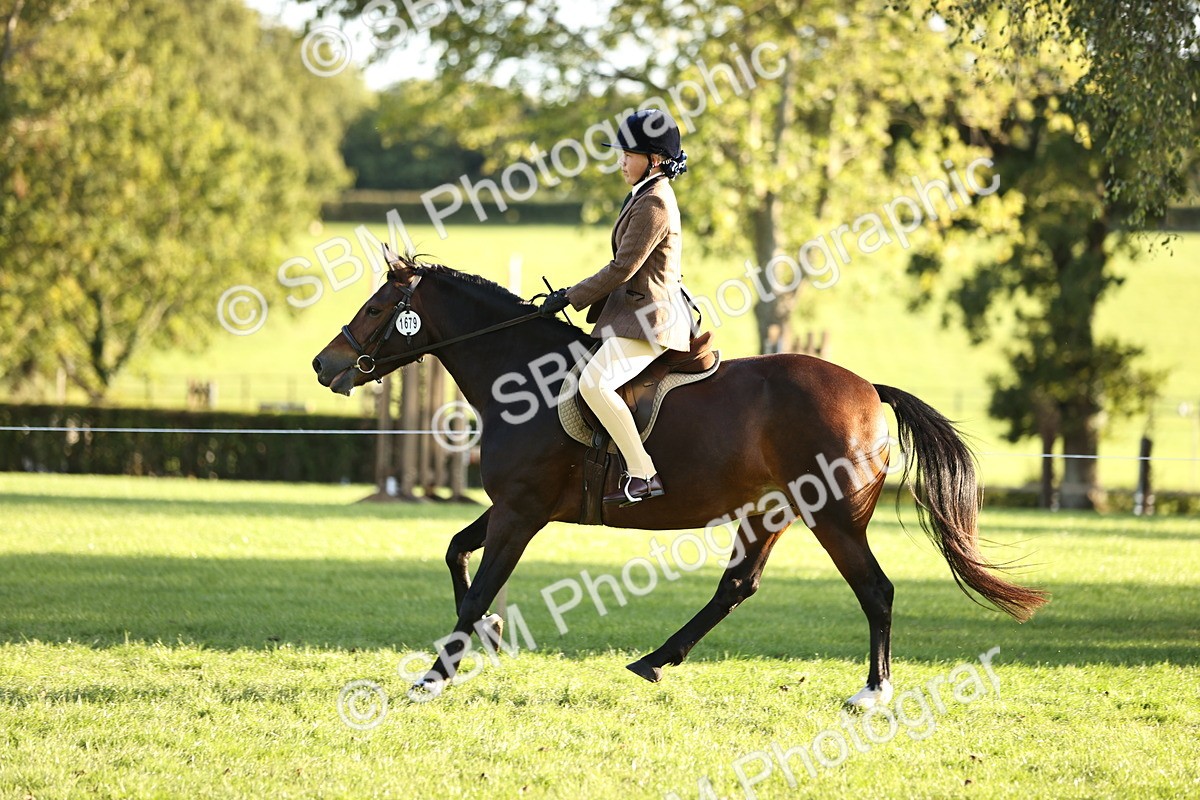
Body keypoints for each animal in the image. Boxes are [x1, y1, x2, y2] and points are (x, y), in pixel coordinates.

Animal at [311, 253, 1048, 707]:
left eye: (377, 308)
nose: (325, 365)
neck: (521, 378)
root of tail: (867, 389)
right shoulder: (511, 506)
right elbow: (456, 555)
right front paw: (490, 633)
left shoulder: (522, 512)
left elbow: (475, 588)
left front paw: (435, 675)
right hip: (769, 511)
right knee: (738, 585)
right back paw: (656, 659)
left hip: (833, 517)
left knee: (875, 589)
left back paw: (872, 691)